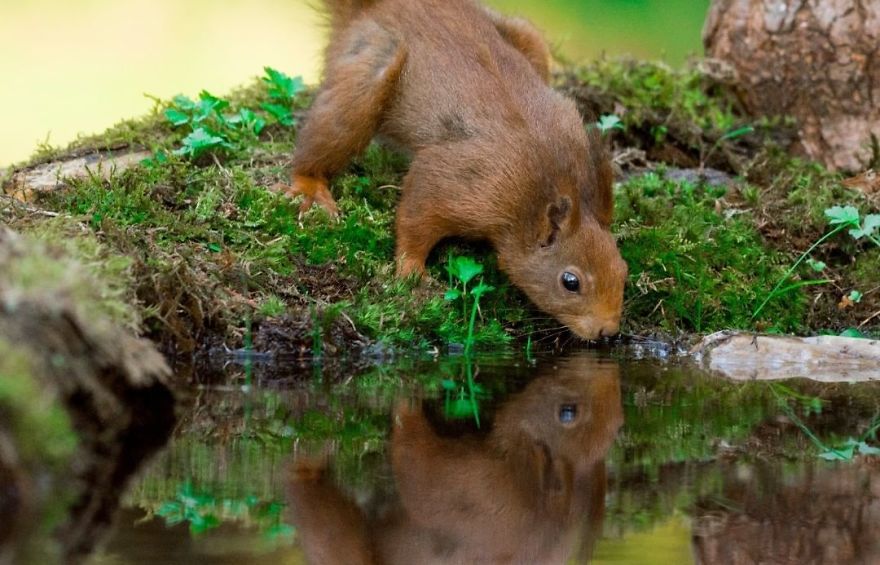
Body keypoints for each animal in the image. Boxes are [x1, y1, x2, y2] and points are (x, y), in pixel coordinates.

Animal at [281, 0, 627, 339]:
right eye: (570, 282)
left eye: (623, 269)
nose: (608, 331)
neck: (543, 187)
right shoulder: (463, 181)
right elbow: (416, 218)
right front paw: (412, 271)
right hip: (370, 71)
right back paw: (309, 185)